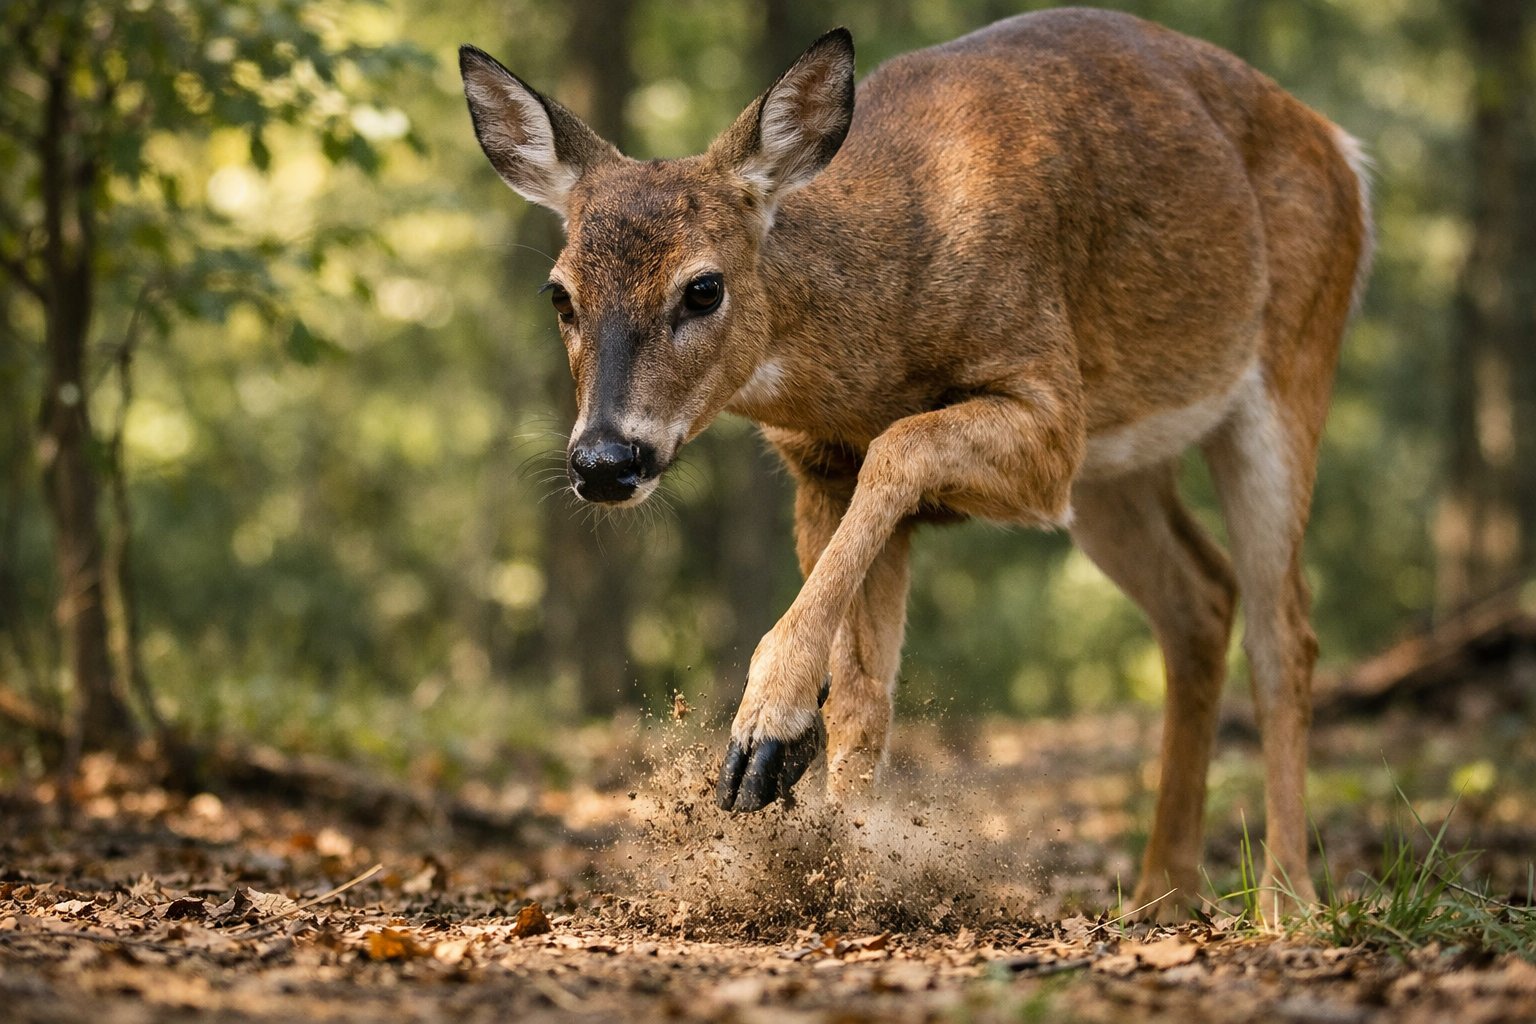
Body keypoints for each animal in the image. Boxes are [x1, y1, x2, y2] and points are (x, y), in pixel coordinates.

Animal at [459, 6, 1371, 921]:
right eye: (560, 295)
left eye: (704, 287)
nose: (605, 460)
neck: (877, 335)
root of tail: (1345, 153)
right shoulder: (819, 466)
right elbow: (865, 690)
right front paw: (839, 862)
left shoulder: (1047, 411)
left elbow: (901, 448)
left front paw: (766, 732)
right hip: (1121, 460)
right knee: (1200, 601)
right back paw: (1161, 894)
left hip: (1287, 368)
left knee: (1285, 635)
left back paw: (1285, 899)